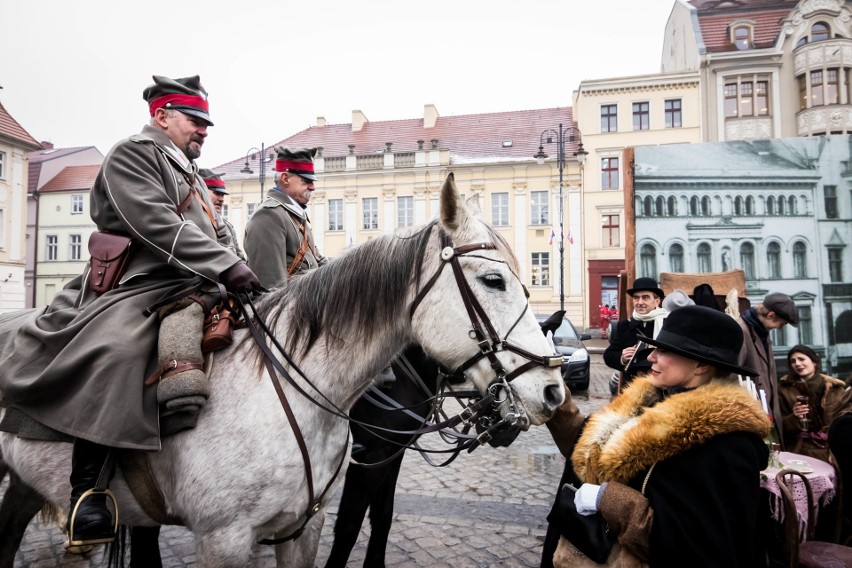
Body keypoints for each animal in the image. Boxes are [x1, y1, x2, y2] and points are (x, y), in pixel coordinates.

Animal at [0, 174, 564, 568]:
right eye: (493, 280)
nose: (554, 391)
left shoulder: (311, 519)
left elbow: (377, 521)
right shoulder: (228, 537)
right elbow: (354, 524)